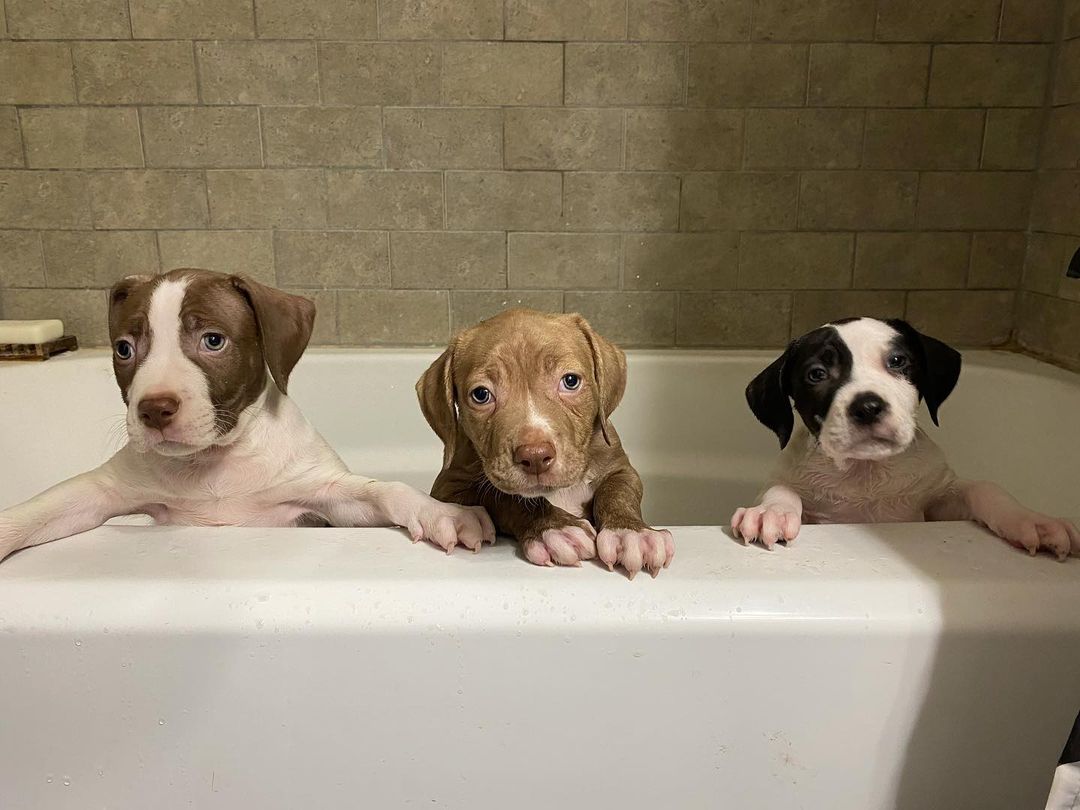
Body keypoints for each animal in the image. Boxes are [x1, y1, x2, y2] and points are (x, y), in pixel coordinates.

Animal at [0, 270, 492, 561]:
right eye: (124, 349)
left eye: (213, 341)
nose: (154, 409)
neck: (214, 461)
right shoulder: (103, 490)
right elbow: (41, 508)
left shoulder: (324, 497)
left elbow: (382, 490)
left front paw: (444, 513)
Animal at [414, 306, 673, 578]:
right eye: (481, 394)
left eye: (570, 381)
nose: (535, 456)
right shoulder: (449, 487)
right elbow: (505, 498)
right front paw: (555, 527)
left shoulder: (621, 468)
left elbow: (618, 492)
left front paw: (631, 532)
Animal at [730, 319, 1075, 561]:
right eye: (816, 374)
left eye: (897, 361)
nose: (867, 407)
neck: (865, 474)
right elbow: (781, 488)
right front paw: (769, 512)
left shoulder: (939, 501)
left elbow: (985, 488)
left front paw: (1032, 521)